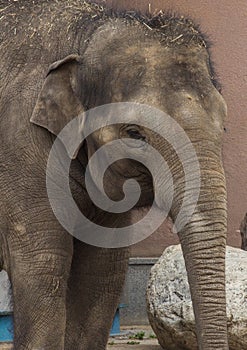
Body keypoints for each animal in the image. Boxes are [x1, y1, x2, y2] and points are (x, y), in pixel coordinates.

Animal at [0, 0, 229, 350]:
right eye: (134, 133)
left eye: (224, 125)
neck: (84, 34)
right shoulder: (19, 145)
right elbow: (43, 265)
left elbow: (102, 272)